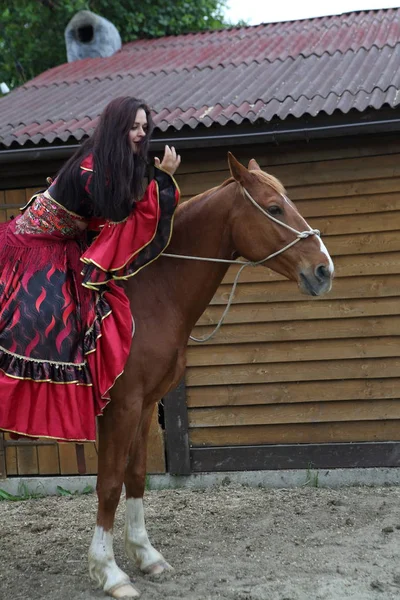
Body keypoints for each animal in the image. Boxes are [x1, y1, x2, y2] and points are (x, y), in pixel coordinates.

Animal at [87, 154, 334, 596]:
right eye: (274, 208)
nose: (324, 270)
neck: (146, 297)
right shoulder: (120, 407)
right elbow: (110, 483)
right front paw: (109, 571)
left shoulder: (145, 405)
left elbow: (135, 476)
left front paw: (146, 555)